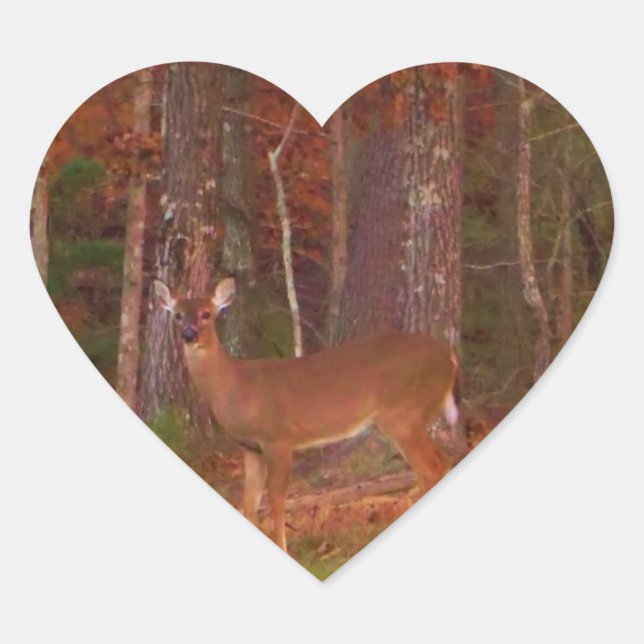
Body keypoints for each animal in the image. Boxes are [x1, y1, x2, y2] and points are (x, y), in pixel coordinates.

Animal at [153, 276, 461, 552]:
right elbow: (249, 504)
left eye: (207, 313)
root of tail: (450, 356)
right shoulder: (250, 448)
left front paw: (283, 547)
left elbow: (276, 500)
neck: (235, 386)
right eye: (178, 315)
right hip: (413, 416)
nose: (189, 334)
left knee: (431, 467)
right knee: (440, 461)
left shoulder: (278, 438)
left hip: (403, 414)